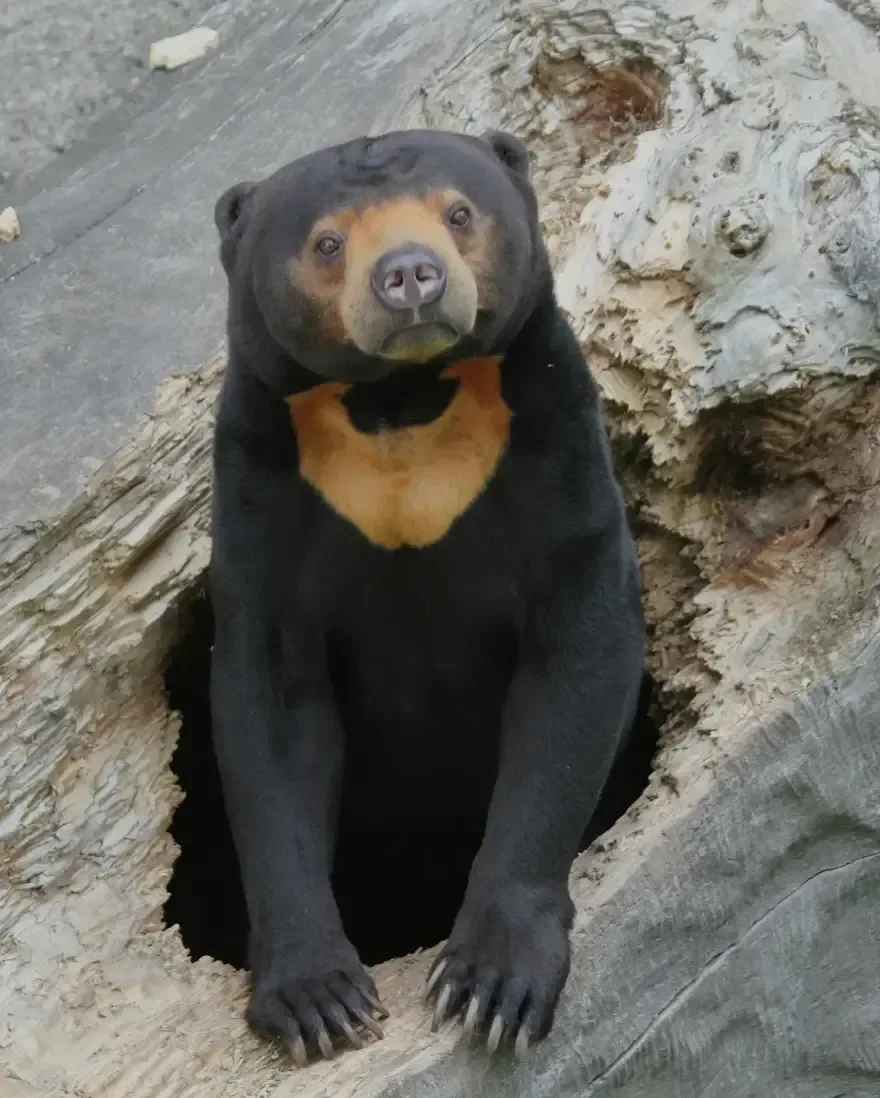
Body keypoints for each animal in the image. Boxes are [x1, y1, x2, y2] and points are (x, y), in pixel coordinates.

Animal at [209, 127, 646, 1066]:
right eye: (327, 243)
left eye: (459, 212)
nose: (410, 275)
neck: (399, 404)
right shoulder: (264, 477)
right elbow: (272, 719)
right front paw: (319, 1001)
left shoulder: (546, 427)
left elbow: (578, 658)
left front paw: (491, 986)